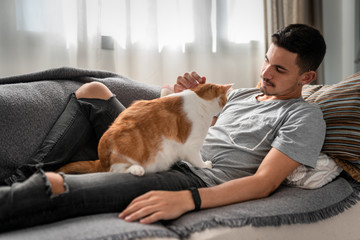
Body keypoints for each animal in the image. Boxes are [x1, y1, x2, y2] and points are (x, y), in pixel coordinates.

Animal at [56, 83, 231, 176]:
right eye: (225, 99)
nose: (224, 105)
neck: (199, 100)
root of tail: (101, 159)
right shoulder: (191, 146)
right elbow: (198, 161)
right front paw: (205, 165)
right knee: (116, 171)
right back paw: (137, 169)